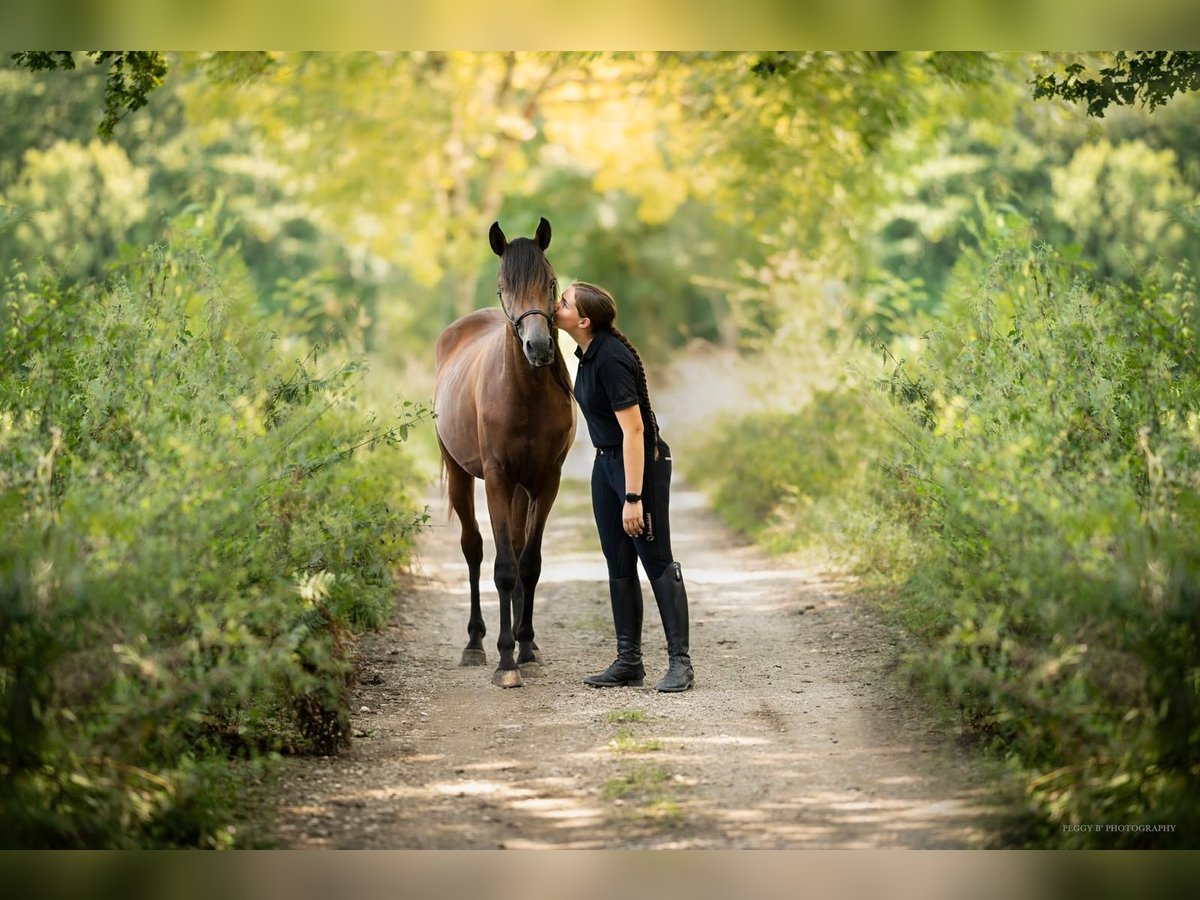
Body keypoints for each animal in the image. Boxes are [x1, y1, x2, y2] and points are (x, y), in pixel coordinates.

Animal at [436, 218, 576, 691]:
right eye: (503, 287)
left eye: (550, 282)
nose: (539, 348)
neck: (524, 393)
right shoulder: (497, 480)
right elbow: (503, 568)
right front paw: (505, 662)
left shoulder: (545, 483)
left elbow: (528, 565)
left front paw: (526, 649)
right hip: (462, 476)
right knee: (474, 550)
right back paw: (475, 643)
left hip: (520, 489)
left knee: (514, 549)